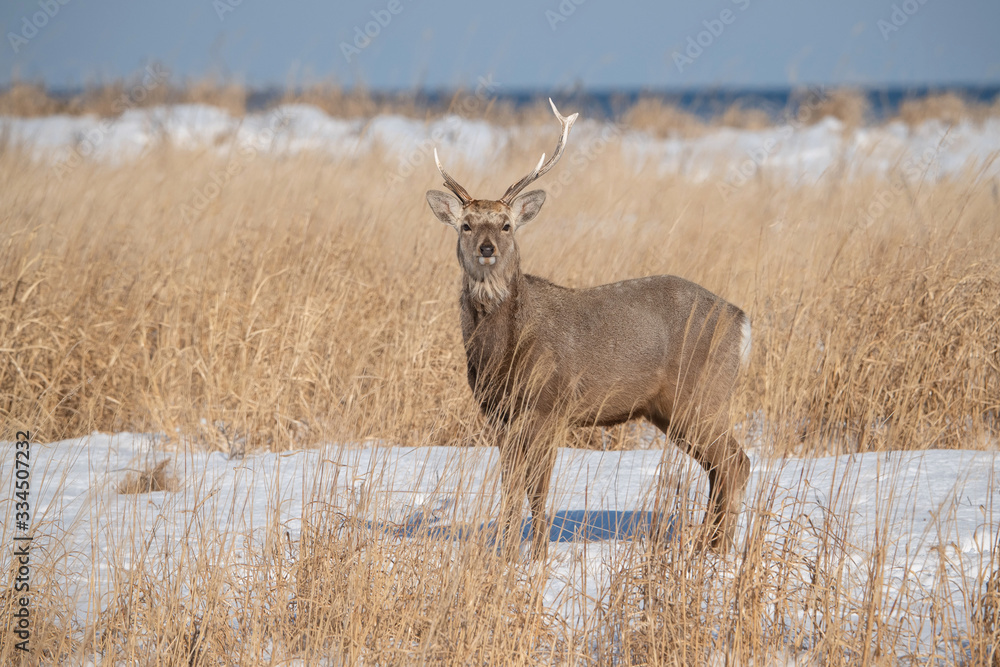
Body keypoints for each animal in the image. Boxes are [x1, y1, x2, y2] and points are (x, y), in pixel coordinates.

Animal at [426, 99, 751, 562]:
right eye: (466, 225)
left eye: (506, 225)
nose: (487, 248)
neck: (503, 354)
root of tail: (742, 320)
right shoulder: (499, 416)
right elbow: (510, 489)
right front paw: (505, 553)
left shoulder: (548, 405)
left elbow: (537, 489)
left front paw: (538, 556)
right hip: (672, 408)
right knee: (720, 466)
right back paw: (709, 546)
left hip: (704, 392)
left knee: (735, 462)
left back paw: (715, 551)